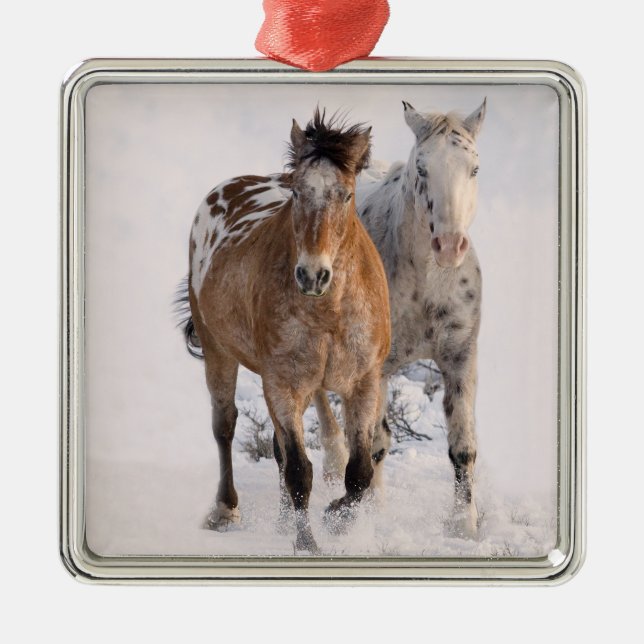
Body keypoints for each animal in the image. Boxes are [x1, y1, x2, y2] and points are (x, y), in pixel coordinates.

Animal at [178, 109, 391, 553]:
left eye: (346, 195)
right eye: (296, 193)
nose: (312, 274)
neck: (329, 314)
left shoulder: (363, 381)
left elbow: (359, 470)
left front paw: (337, 518)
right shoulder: (283, 384)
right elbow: (299, 470)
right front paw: (307, 542)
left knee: (276, 447)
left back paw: (279, 521)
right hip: (218, 352)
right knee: (224, 426)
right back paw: (225, 510)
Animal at [315, 100, 487, 538]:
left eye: (474, 169)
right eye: (422, 169)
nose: (449, 245)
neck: (426, 282)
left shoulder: (460, 358)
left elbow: (462, 446)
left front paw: (464, 526)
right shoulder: (376, 368)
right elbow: (374, 443)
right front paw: (371, 517)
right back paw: (333, 465)